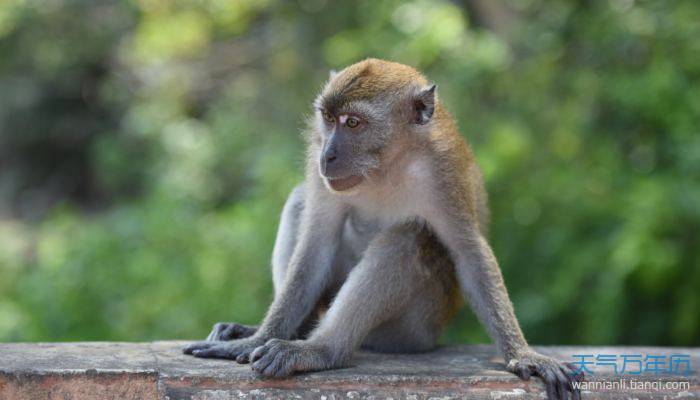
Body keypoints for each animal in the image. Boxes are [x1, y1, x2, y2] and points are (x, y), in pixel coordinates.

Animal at [183, 57, 584, 398]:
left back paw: (322, 350)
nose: (327, 155)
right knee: (301, 201)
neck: (386, 163)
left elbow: (469, 254)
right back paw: (292, 333)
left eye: (353, 123)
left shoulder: (443, 172)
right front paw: (254, 339)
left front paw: (524, 354)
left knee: (408, 238)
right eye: (328, 118)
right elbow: (315, 245)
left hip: (413, 330)